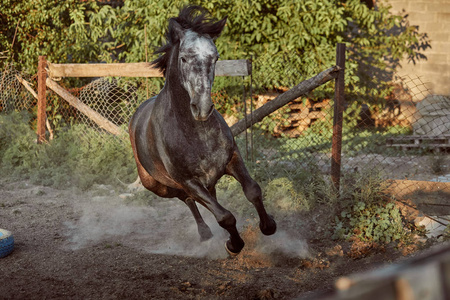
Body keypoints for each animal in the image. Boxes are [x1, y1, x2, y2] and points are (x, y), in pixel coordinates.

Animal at [128, 5, 276, 255]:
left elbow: (253, 190)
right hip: (160, 186)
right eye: (184, 58)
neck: (196, 134)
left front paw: (269, 226)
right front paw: (233, 245)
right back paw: (205, 233)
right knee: (188, 200)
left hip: (206, 182)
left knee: (201, 198)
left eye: (215, 57)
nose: (203, 107)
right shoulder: (188, 180)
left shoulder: (231, 159)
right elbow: (224, 216)